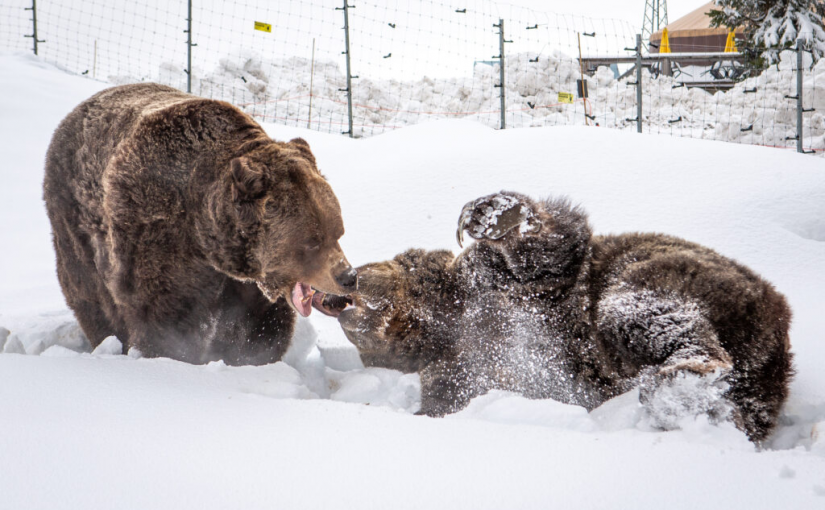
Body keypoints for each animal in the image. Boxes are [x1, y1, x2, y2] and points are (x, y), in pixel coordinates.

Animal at [43, 83, 357, 365]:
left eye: (338, 232)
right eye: (312, 241)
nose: (348, 276)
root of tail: (70, 117)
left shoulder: (246, 279)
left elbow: (257, 325)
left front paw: (249, 358)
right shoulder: (159, 234)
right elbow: (165, 312)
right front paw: (172, 356)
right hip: (74, 216)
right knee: (90, 292)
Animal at [316, 191, 793, 443]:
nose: (334, 288)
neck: (439, 320)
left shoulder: (514, 283)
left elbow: (550, 246)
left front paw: (492, 214)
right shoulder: (461, 367)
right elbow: (446, 399)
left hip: (669, 273)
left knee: (640, 312)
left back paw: (683, 378)